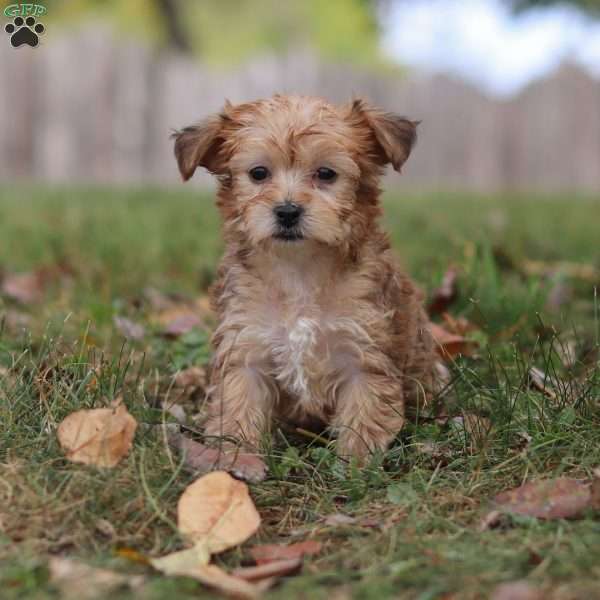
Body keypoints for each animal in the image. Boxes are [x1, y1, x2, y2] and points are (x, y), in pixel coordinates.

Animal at [171, 96, 438, 476]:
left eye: (326, 174)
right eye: (258, 173)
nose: (287, 211)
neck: (299, 269)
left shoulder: (364, 352)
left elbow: (364, 410)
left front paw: (355, 465)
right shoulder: (246, 346)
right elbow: (238, 404)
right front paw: (236, 455)